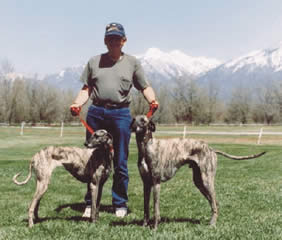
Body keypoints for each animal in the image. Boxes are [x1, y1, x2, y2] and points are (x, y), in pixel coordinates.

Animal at [131, 115, 266, 230]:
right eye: (133, 119)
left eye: (143, 120)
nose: (132, 126)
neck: (147, 147)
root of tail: (211, 149)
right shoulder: (146, 184)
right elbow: (145, 208)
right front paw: (144, 226)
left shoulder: (156, 183)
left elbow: (156, 208)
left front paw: (154, 228)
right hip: (199, 182)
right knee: (215, 203)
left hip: (206, 181)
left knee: (214, 204)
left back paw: (212, 224)